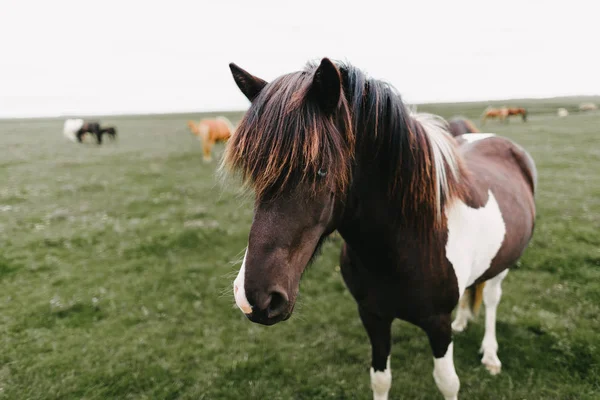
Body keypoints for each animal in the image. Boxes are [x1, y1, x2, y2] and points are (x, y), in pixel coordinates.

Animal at [226, 59, 540, 400]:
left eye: (321, 170)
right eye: (254, 170)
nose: (256, 298)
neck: (408, 244)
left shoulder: (437, 324)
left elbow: (447, 382)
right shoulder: (373, 316)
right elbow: (380, 379)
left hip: (503, 266)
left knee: (493, 299)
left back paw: (491, 355)